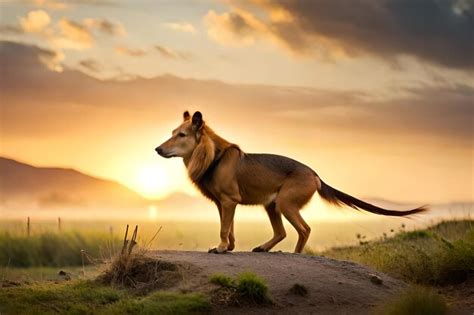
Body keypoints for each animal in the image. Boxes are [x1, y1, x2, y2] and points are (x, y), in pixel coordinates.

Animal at [156, 111, 426, 254]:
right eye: (172, 133)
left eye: (181, 135)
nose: (157, 149)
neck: (212, 156)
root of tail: (315, 174)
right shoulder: (222, 204)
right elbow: (229, 229)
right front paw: (228, 247)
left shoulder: (229, 201)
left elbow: (224, 228)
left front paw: (222, 248)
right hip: (272, 205)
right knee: (282, 232)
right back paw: (264, 248)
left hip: (286, 203)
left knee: (304, 230)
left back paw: (296, 254)